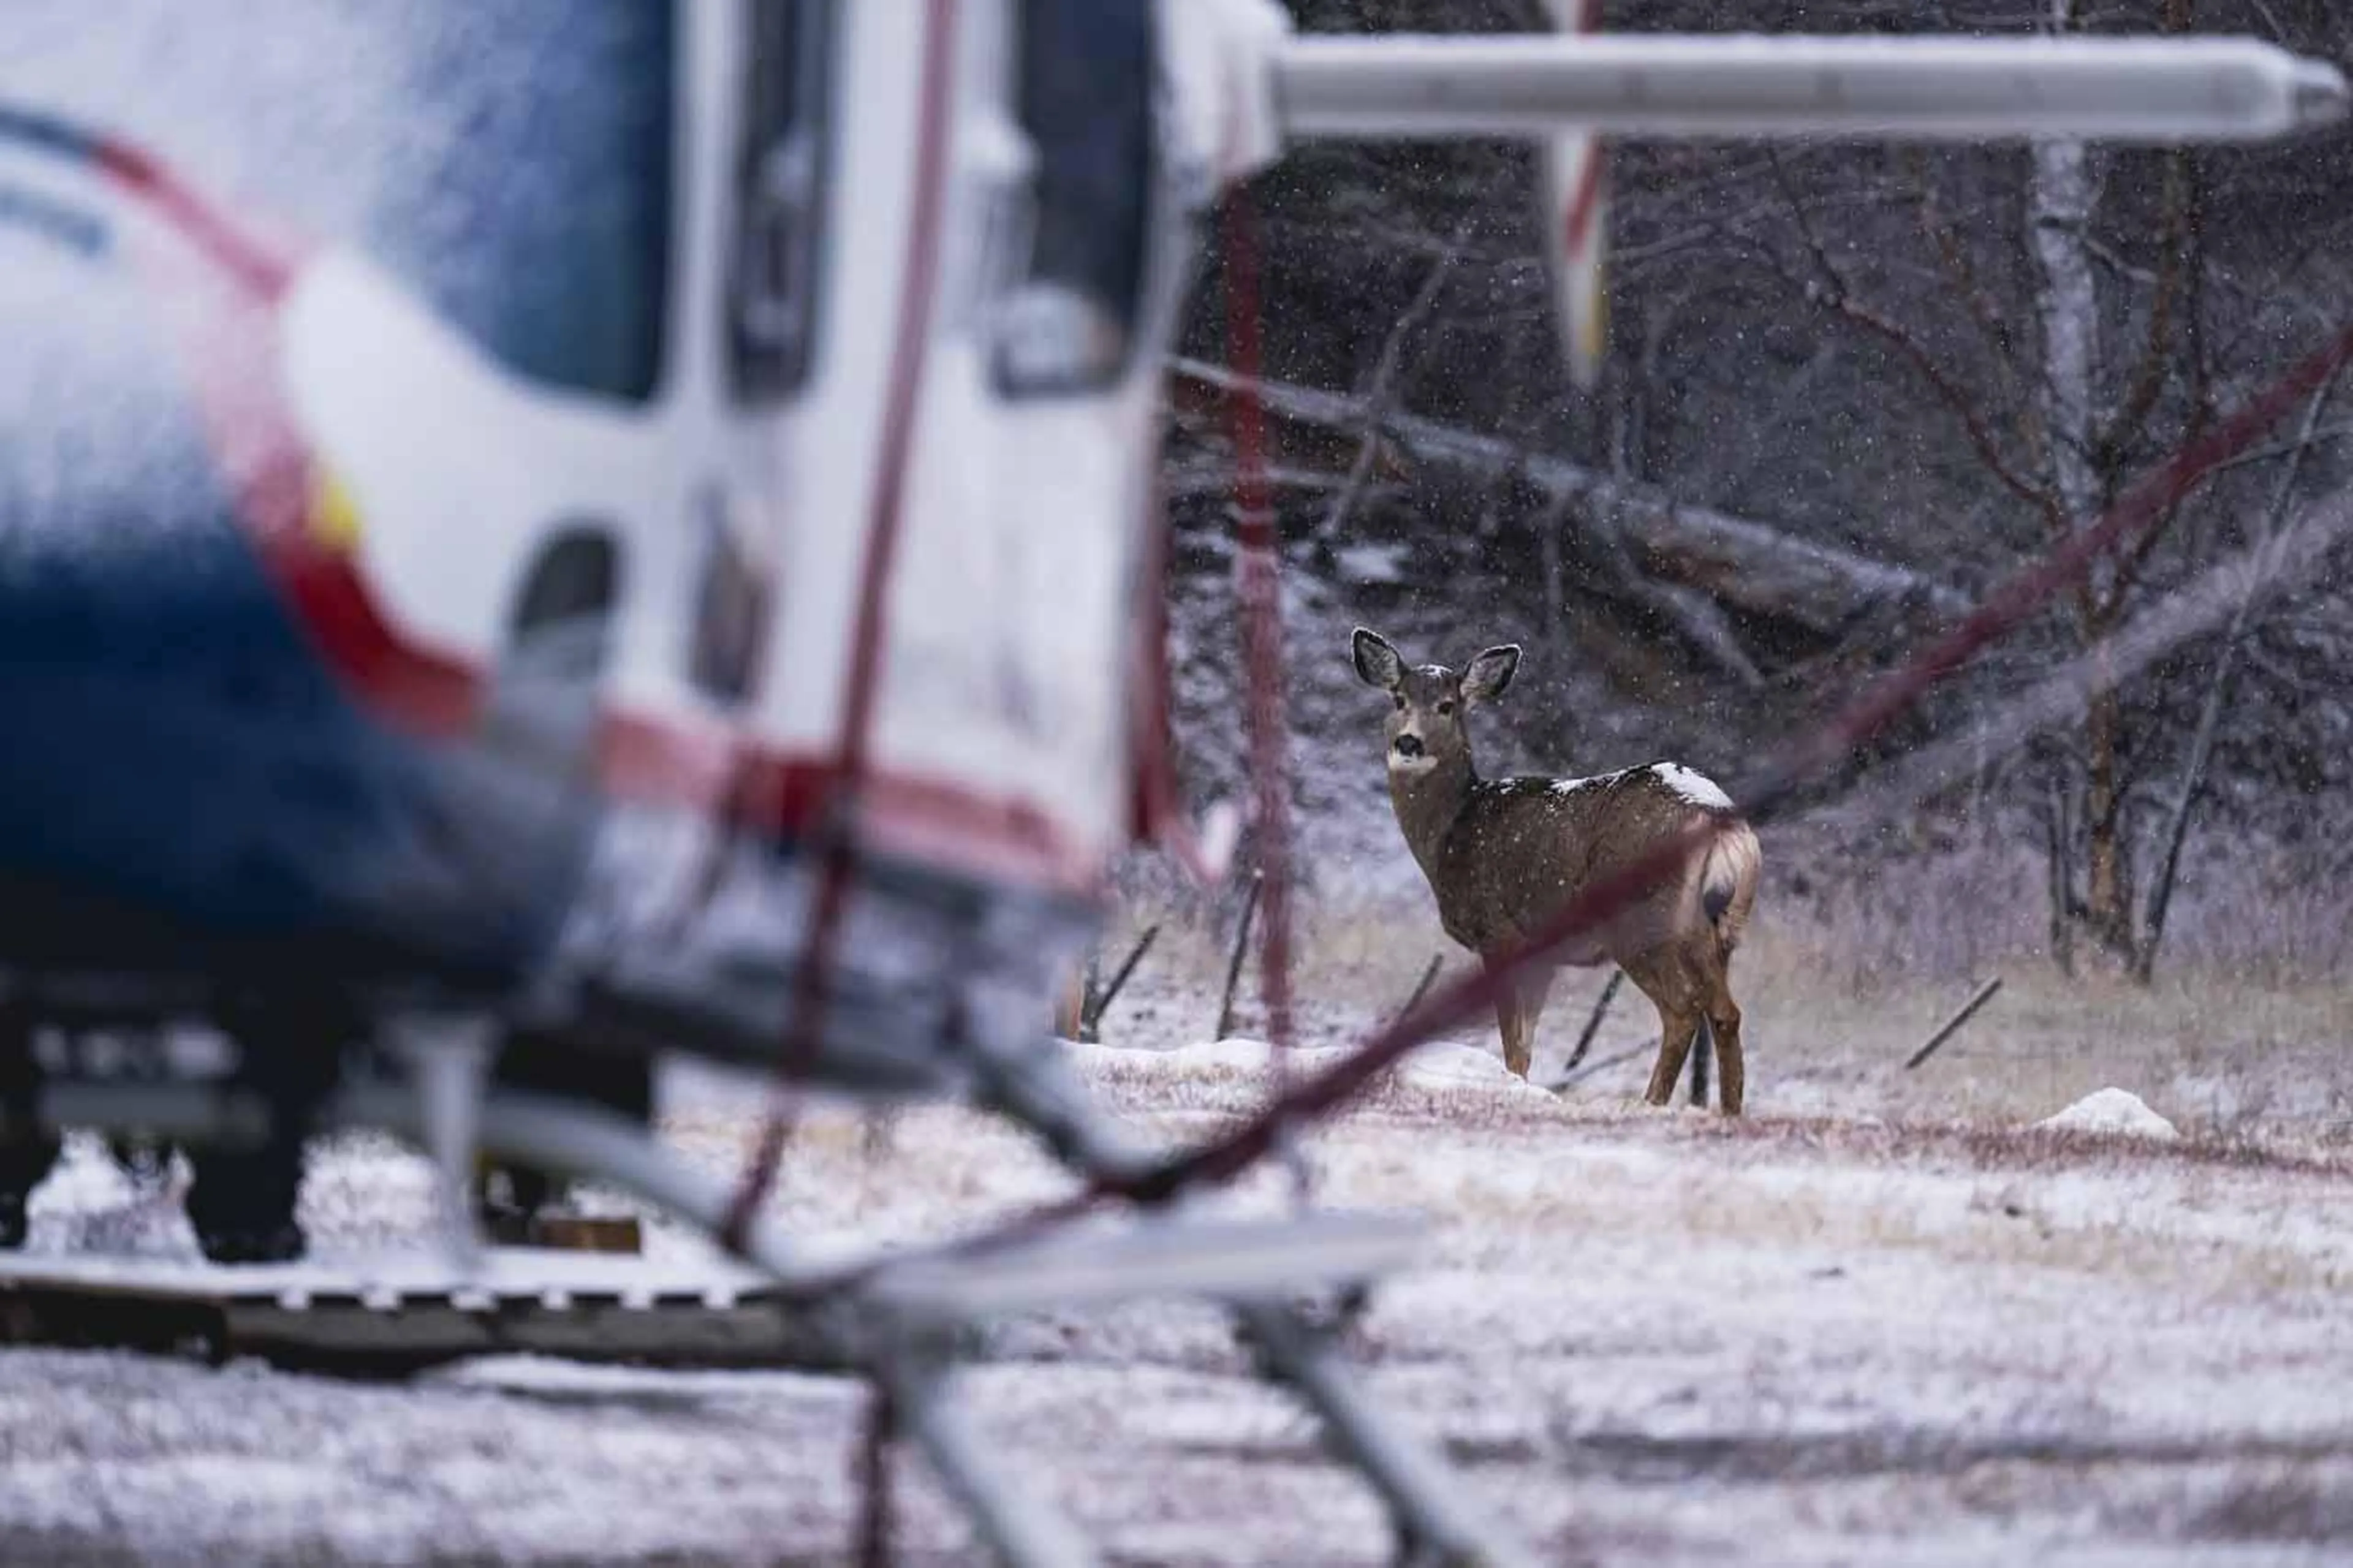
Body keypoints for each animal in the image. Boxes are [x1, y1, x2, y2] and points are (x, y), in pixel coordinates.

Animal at [1350, 628, 1762, 1114]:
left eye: (1447, 705)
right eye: (1398, 698)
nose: (1409, 743)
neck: (1454, 829)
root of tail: (1721, 818)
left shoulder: (1499, 932)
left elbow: (1512, 1040)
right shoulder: (1541, 953)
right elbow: (1525, 1045)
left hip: (1640, 922)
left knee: (1682, 1008)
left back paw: (1651, 1103)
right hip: (1718, 930)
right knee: (1725, 1012)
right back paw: (1730, 1112)